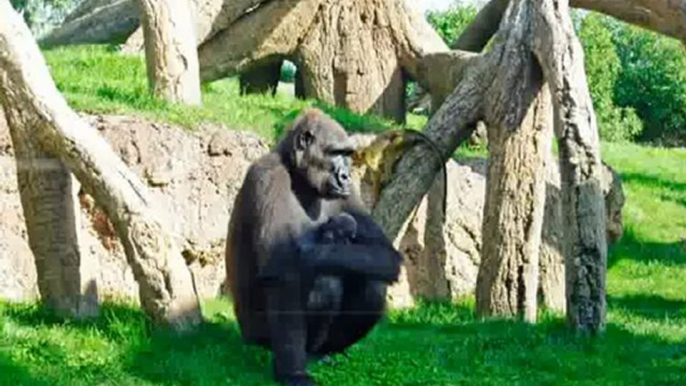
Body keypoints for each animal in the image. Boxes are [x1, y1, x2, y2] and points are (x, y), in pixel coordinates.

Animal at [226, 108, 404, 386]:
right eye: (334, 153)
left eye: (347, 155)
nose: (345, 175)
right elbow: (283, 273)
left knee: (372, 281)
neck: (298, 175)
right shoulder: (268, 176)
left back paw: (324, 352)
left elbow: (383, 254)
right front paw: (293, 373)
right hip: (255, 337)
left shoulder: (349, 194)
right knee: (326, 280)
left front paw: (324, 246)